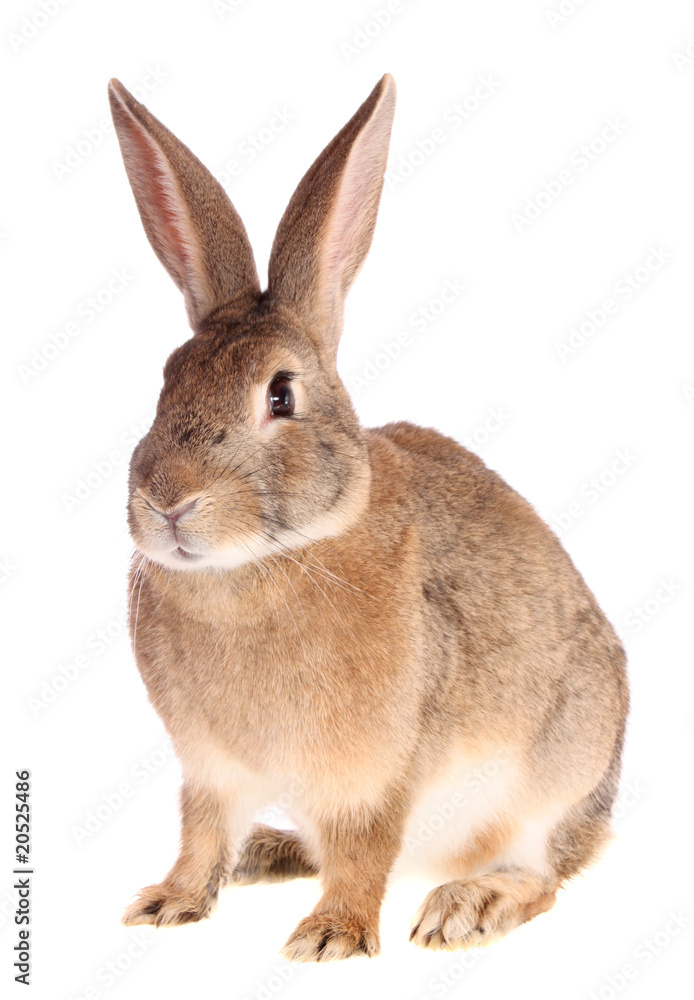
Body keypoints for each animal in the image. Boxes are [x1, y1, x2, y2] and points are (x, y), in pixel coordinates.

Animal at [108, 73, 629, 962]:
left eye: (281, 395)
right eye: (168, 379)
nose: (169, 501)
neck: (266, 560)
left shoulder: (379, 773)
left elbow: (363, 849)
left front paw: (330, 938)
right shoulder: (211, 772)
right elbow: (200, 835)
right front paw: (169, 903)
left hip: (559, 770)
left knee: (541, 874)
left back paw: (466, 907)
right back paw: (268, 851)